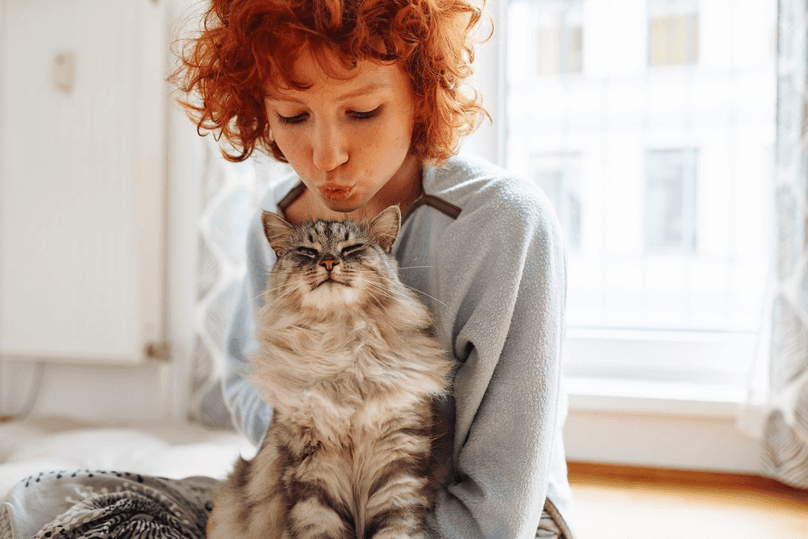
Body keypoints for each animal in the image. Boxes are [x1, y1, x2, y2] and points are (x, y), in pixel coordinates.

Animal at [205, 205, 454, 536]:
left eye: (352, 249)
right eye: (307, 251)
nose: (328, 262)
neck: (341, 345)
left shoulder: (398, 465)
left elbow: (396, 527)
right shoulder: (312, 472)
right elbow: (318, 525)